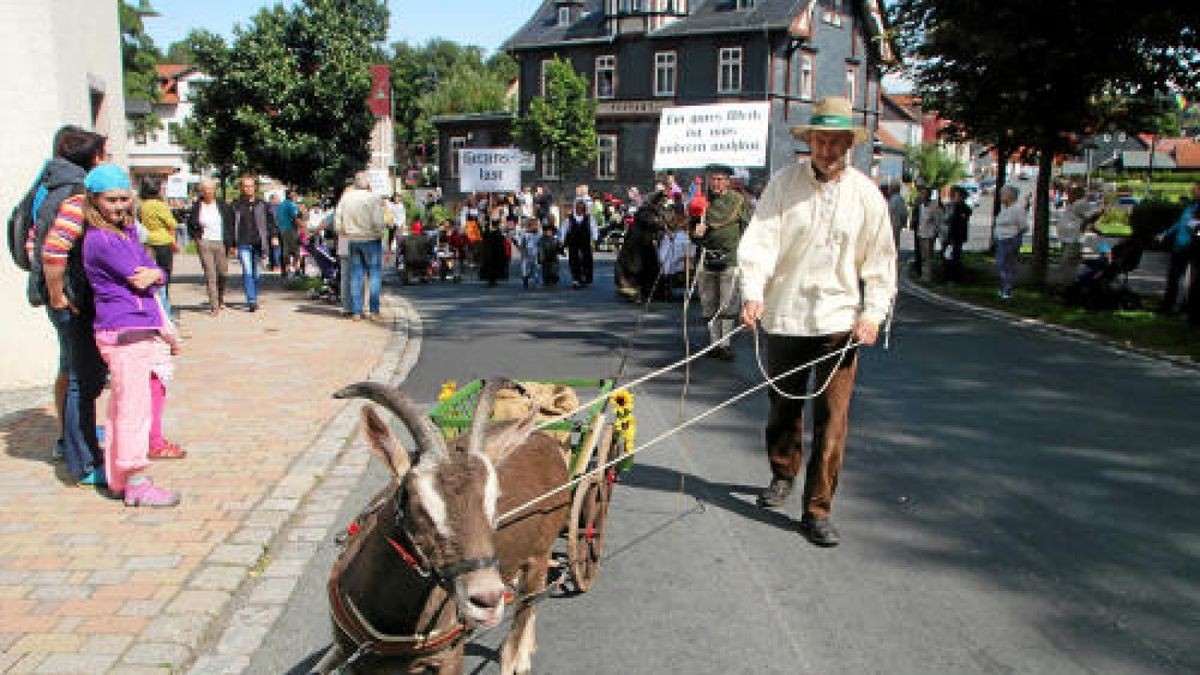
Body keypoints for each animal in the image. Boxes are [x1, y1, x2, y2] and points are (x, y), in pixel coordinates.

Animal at [312, 379, 568, 672]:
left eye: (495, 499)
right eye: (414, 499)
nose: (488, 599)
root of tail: (547, 440)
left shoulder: (449, 657)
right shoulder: (355, 658)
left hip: (540, 553)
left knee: (524, 614)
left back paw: (520, 656)